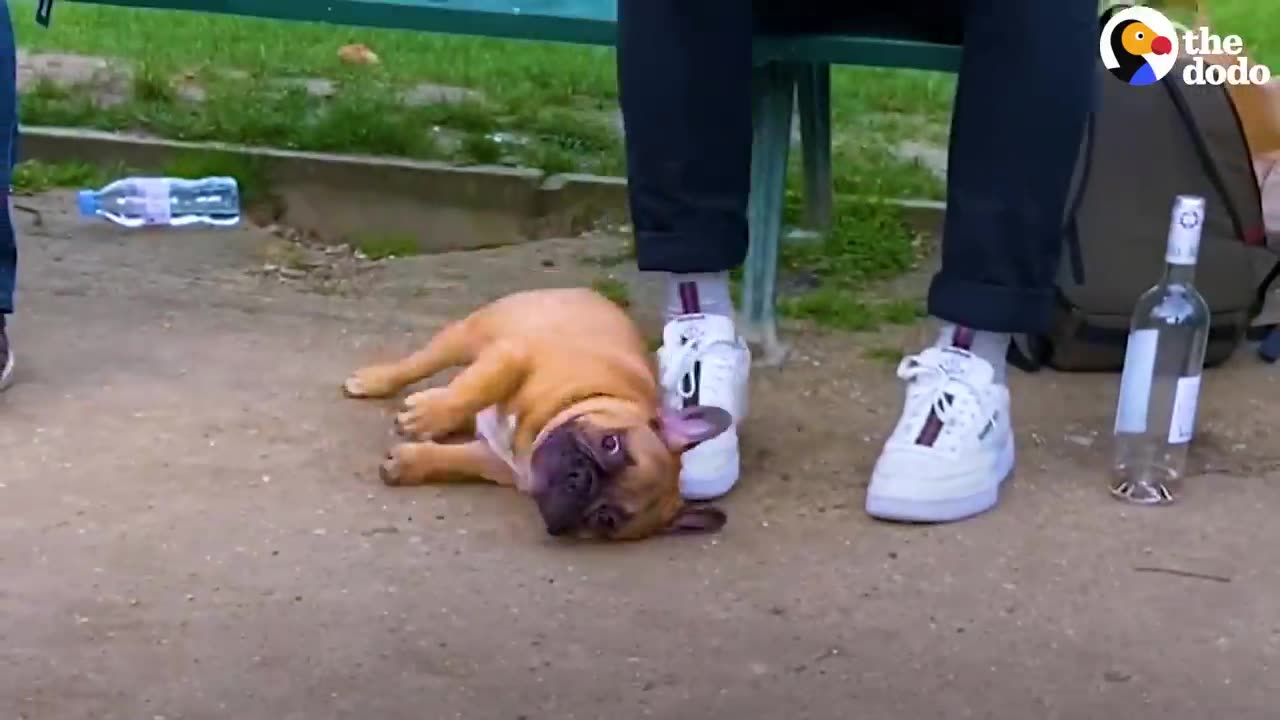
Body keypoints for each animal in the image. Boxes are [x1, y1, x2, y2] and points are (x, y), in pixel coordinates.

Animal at [340, 285, 732, 538]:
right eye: (610, 444)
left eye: (605, 519)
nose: (581, 480)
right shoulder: (513, 357)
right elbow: (474, 389)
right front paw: (429, 416)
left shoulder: (497, 462)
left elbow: (455, 460)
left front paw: (408, 463)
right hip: (473, 334)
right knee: (423, 363)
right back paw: (381, 383)